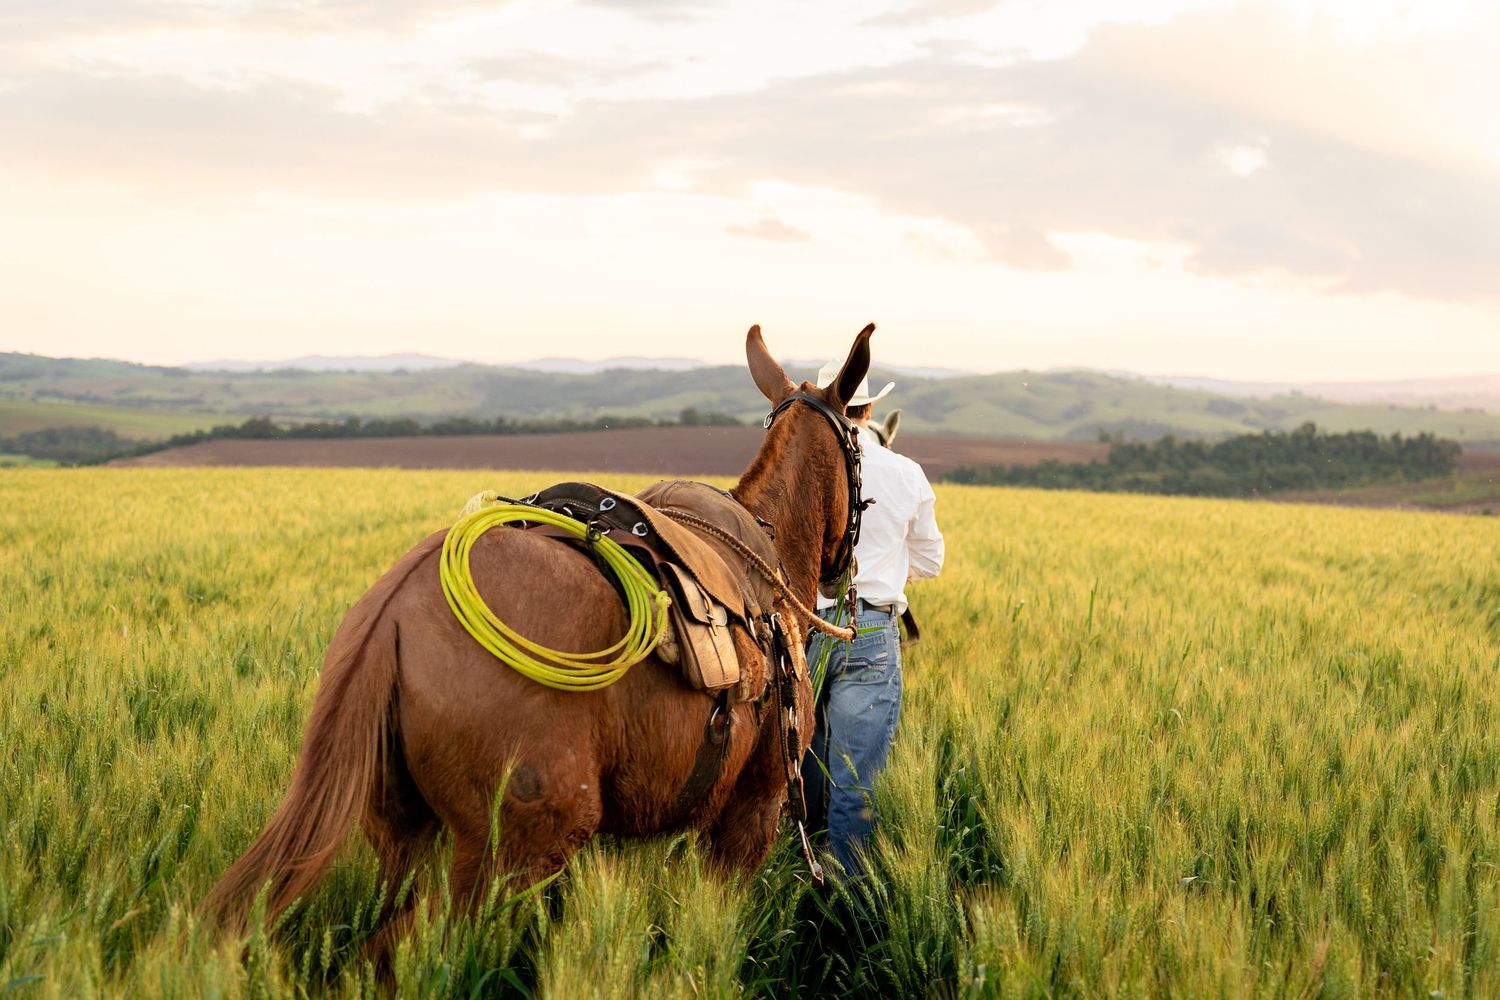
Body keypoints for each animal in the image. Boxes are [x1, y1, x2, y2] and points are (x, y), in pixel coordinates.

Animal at [204, 323, 876, 953]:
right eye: (862, 445)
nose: (846, 570)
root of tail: (392, 610)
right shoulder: (753, 812)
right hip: (517, 847)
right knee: (400, 946)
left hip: (402, 830)